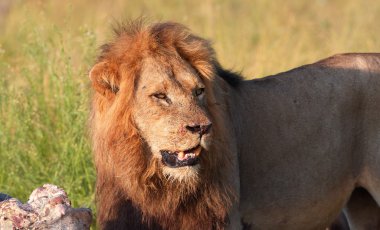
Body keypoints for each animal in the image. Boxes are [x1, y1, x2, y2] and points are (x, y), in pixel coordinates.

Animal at [90, 20, 380, 229]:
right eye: (160, 96)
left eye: (198, 91)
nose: (202, 128)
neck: (151, 182)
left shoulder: (225, 219)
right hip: (362, 205)